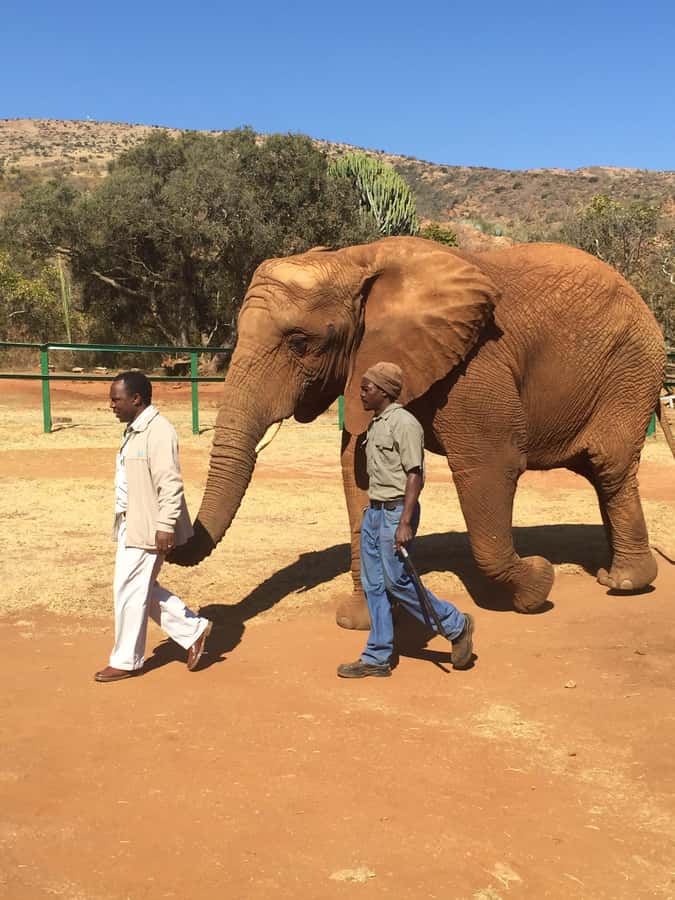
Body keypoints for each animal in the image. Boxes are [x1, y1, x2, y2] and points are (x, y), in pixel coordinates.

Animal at [170, 237, 666, 628]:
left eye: (299, 343)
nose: (172, 543)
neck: (356, 260)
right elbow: (357, 474)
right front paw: (359, 620)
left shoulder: (476, 364)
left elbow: (491, 465)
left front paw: (538, 585)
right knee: (600, 472)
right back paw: (612, 572)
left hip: (631, 367)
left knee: (609, 466)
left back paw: (622, 583)